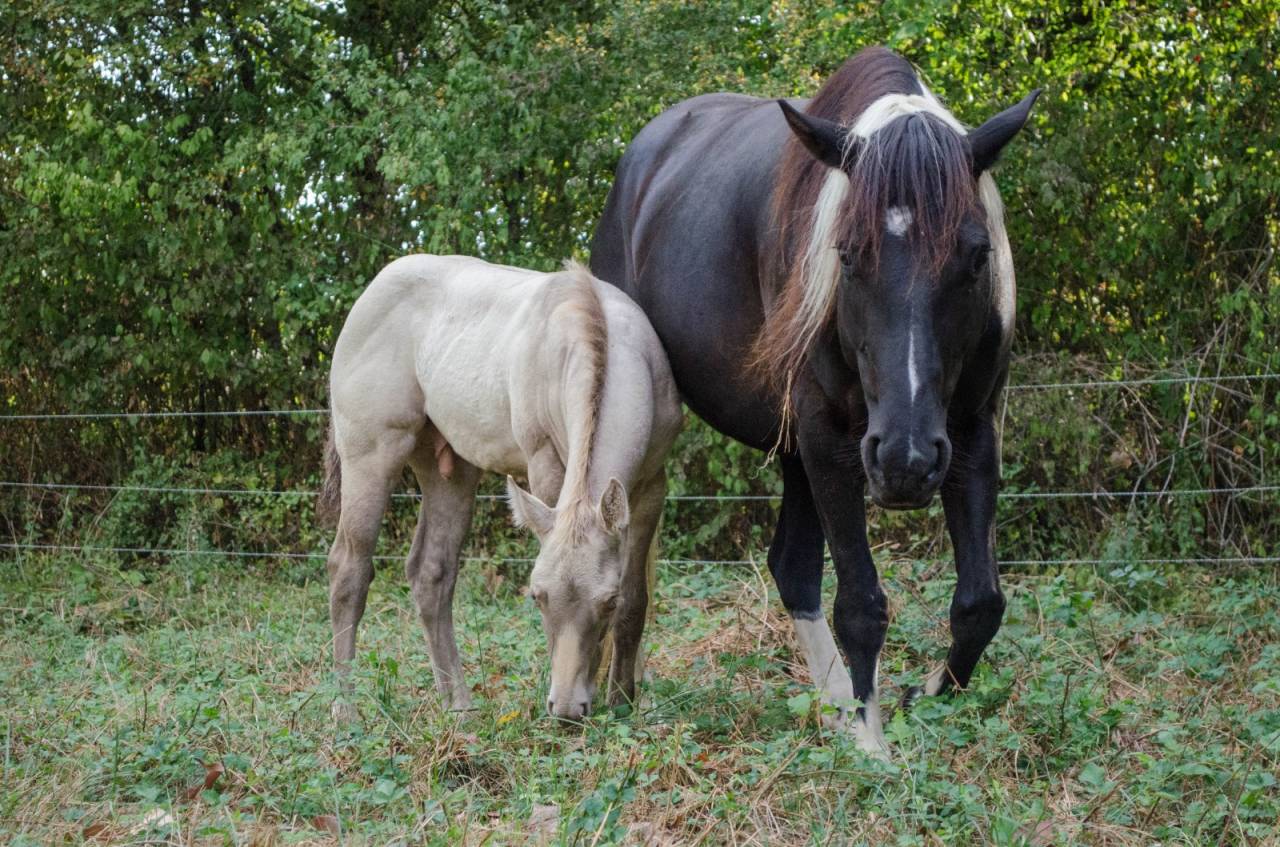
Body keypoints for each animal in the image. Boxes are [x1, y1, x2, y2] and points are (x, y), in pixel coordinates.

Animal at [318, 255, 681, 721]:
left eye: (607, 602)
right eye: (537, 596)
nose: (566, 708)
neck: (602, 336)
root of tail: (374, 288)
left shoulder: (652, 486)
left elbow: (638, 599)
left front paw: (622, 701)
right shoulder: (546, 469)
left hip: (449, 470)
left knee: (430, 574)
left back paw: (458, 704)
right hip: (371, 454)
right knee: (349, 569)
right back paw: (346, 711)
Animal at [590, 46, 1038, 754]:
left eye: (976, 257)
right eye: (848, 255)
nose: (906, 463)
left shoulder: (970, 432)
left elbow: (979, 603)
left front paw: (913, 699)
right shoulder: (831, 437)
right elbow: (860, 604)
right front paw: (874, 746)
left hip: (801, 447)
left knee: (792, 568)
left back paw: (831, 705)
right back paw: (619, 692)